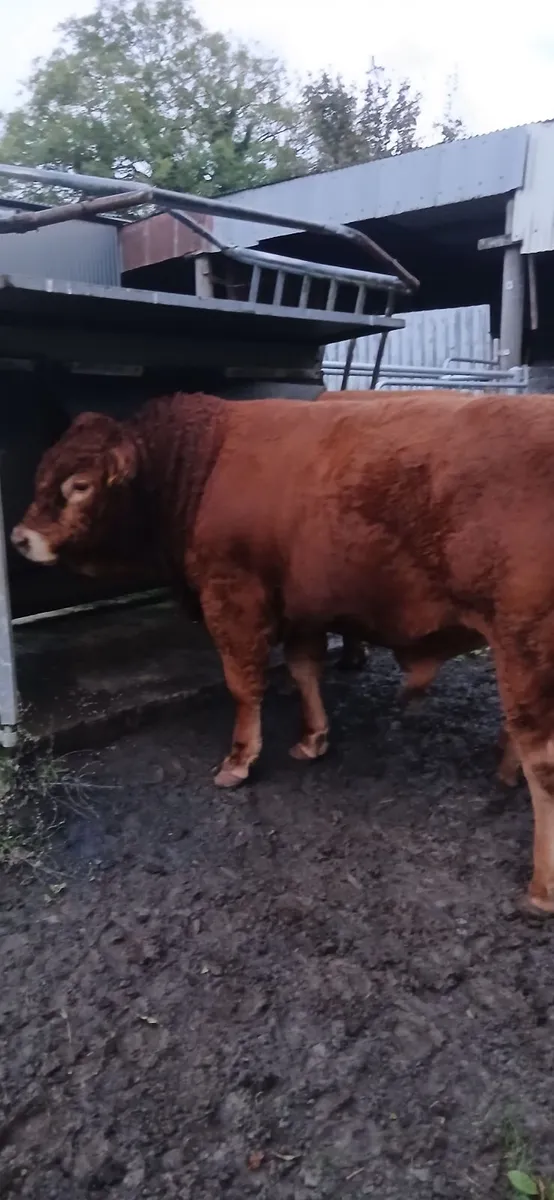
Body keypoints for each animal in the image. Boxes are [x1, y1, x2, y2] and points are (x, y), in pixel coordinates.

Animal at [10, 389, 554, 911]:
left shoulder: (233, 595)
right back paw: (505, 772)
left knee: (542, 759)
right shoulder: (302, 604)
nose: (19, 537)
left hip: (526, 645)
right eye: (42, 470)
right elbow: (303, 668)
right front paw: (312, 738)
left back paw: (541, 887)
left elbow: (244, 682)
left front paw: (239, 759)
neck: (203, 463)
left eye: (80, 485)